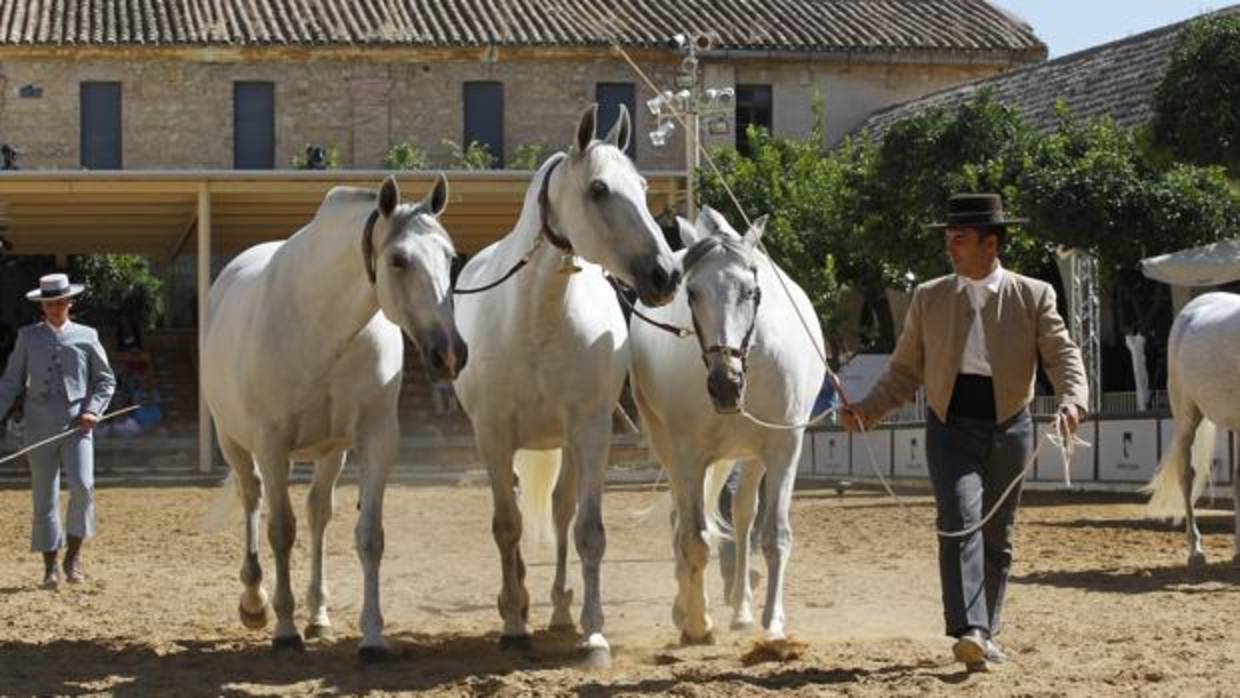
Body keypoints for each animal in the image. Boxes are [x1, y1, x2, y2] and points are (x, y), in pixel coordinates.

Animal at [203, 174, 466, 659]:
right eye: (398, 260)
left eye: (451, 257)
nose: (450, 354)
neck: (325, 325)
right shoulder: (272, 445)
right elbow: (281, 531)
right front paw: (284, 630)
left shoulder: (376, 440)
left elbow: (369, 536)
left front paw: (372, 637)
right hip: (235, 442)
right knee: (252, 499)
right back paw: (254, 602)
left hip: (330, 453)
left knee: (317, 513)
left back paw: (319, 615)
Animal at [453, 103, 679, 664]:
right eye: (598, 189)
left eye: (643, 186)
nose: (666, 275)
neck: (537, 317)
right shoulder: (493, 435)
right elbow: (507, 526)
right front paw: (514, 623)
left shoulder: (591, 432)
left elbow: (588, 530)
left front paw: (593, 634)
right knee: (516, 521)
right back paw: (519, 603)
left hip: (568, 444)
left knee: (560, 513)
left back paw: (558, 607)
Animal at [629, 207, 823, 644]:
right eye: (691, 293)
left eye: (751, 292)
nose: (725, 383)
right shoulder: (688, 455)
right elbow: (695, 540)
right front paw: (698, 624)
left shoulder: (784, 449)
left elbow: (774, 537)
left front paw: (773, 623)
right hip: (668, 447)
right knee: (681, 521)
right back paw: (685, 609)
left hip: (749, 456)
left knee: (742, 516)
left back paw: (742, 610)